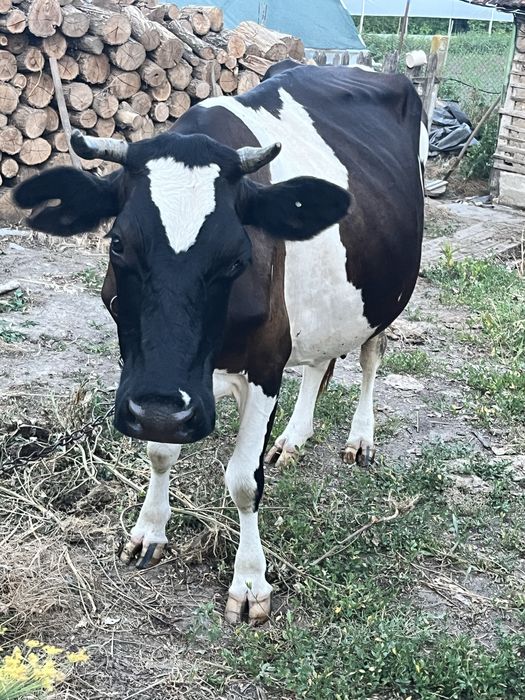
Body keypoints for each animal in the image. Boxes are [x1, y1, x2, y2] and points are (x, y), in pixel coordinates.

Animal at [14, 60, 427, 625]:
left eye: (237, 257)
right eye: (118, 243)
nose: (160, 408)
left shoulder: (266, 361)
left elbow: (244, 481)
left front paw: (251, 583)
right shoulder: (153, 381)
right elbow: (160, 451)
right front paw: (149, 531)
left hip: (389, 293)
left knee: (369, 354)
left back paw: (360, 439)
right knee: (320, 361)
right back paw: (293, 439)